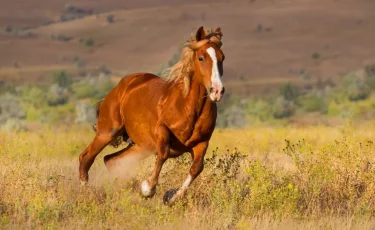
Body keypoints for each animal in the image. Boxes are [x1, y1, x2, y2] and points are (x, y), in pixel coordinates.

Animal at [78, 25, 226, 205]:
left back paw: (127, 187)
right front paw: (147, 189)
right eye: (201, 58)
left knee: (111, 160)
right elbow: (163, 154)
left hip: (142, 146)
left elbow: (196, 168)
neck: (188, 107)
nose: (217, 91)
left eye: (222, 58)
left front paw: (171, 196)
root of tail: (120, 87)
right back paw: (88, 193)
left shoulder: (202, 142)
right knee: (86, 158)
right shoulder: (161, 130)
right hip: (107, 132)